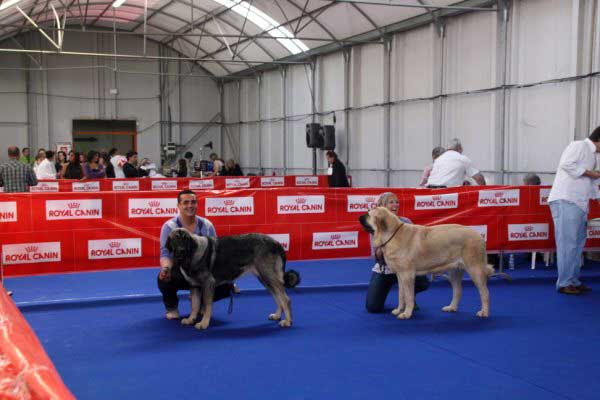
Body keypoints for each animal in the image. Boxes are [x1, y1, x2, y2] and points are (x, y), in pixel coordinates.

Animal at [165, 230, 298, 330]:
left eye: (186, 239)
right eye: (175, 239)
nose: (181, 250)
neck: (191, 254)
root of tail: (276, 242)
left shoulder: (208, 283)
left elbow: (207, 305)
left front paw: (204, 323)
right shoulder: (194, 286)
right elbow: (195, 305)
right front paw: (191, 319)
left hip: (268, 275)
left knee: (285, 299)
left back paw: (288, 321)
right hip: (264, 278)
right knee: (277, 297)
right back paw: (277, 316)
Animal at [360, 208, 492, 320]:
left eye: (368, 214)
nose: (359, 216)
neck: (392, 234)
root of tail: (479, 236)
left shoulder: (407, 275)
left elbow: (408, 296)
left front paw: (407, 313)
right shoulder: (400, 275)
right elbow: (401, 295)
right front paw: (399, 310)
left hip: (475, 269)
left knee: (485, 293)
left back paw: (484, 312)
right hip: (454, 271)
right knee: (458, 290)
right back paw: (452, 307)